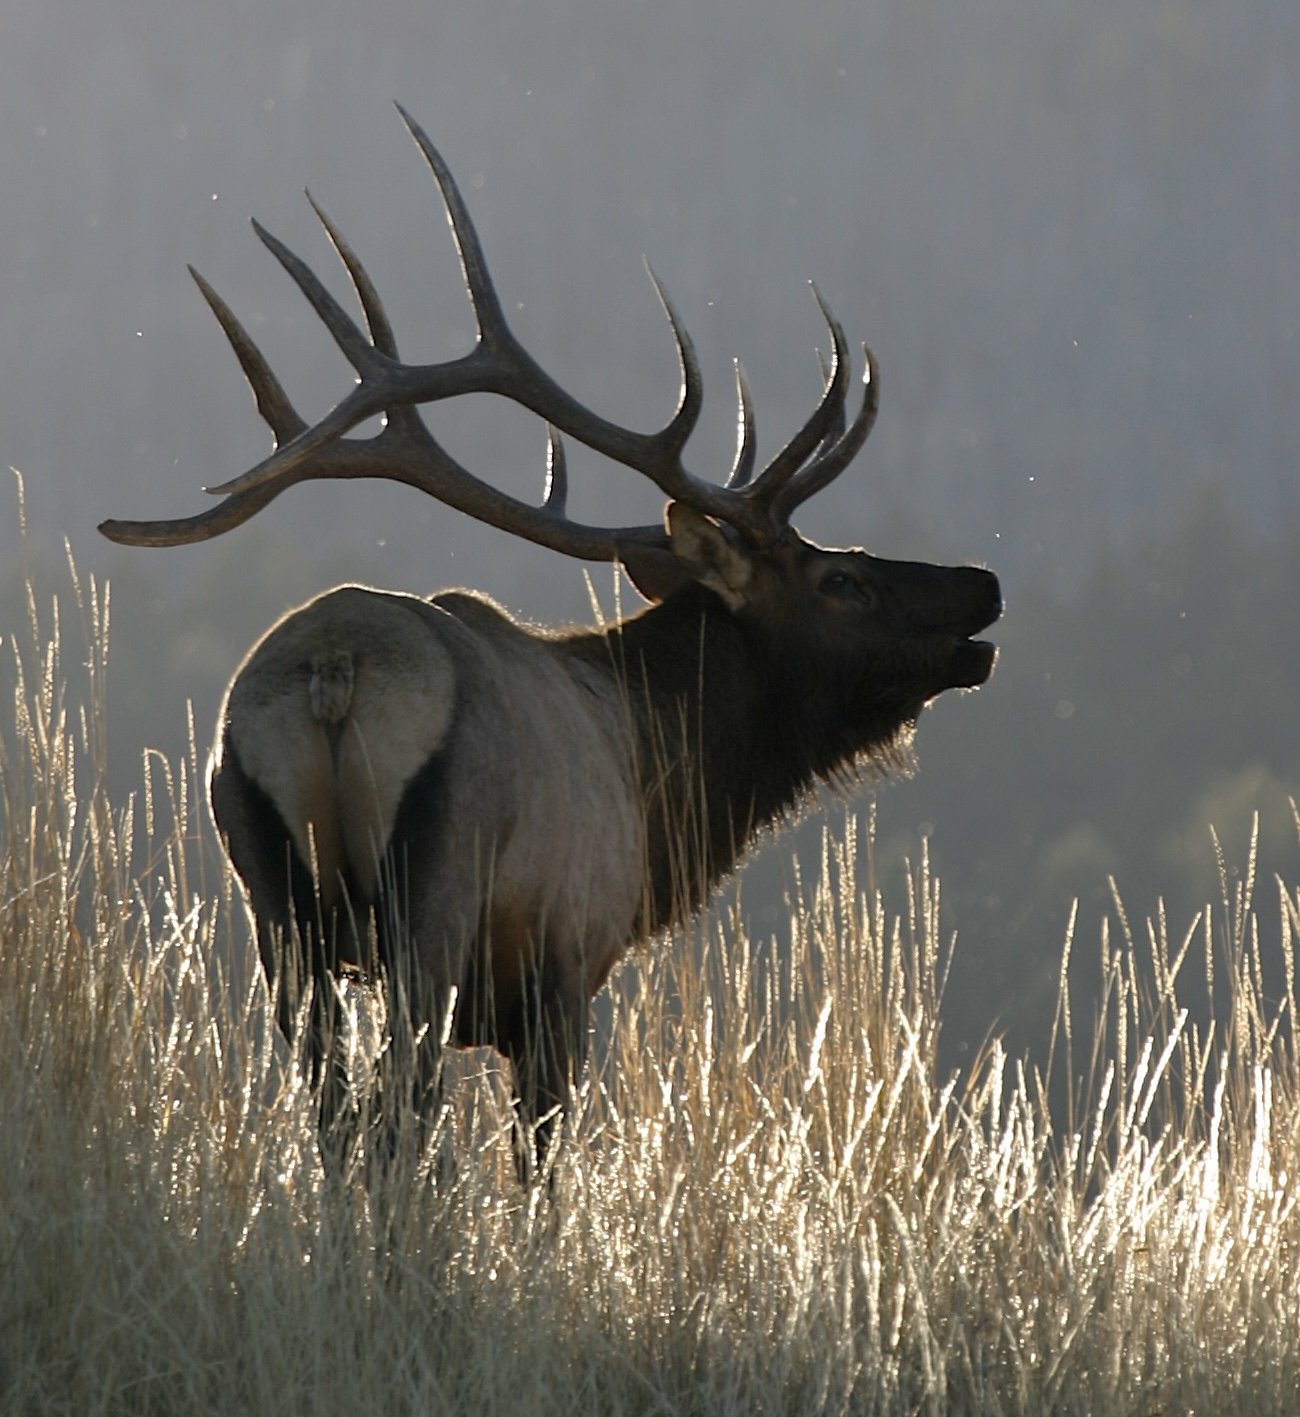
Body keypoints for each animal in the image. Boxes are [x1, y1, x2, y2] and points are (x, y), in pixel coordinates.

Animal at [101, 107, 1001, 1174]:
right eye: (843, 583)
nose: (983, 587)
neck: (662, 785)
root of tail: (334, 672)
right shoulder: (566, 962)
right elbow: (541, 1167)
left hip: (270, 891)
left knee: (332, 1111)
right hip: (435, 899)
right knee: (398, 1111)